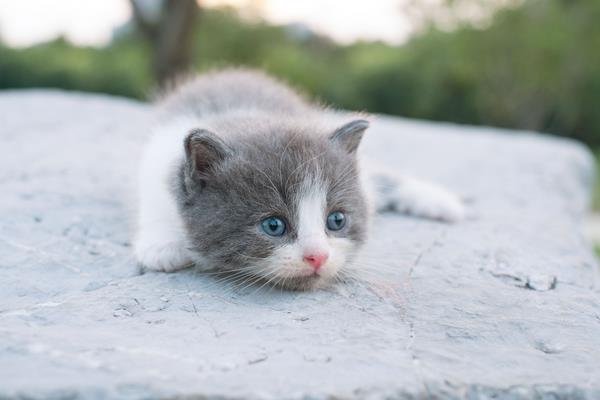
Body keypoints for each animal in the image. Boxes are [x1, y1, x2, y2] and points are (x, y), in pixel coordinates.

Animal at [136, 67, 464, 290]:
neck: (247, 117)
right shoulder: (155, 160)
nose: (317, 257)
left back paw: (441, 202)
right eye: (273, 225)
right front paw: (161, 249)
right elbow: (154, 199)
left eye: (336, 220)